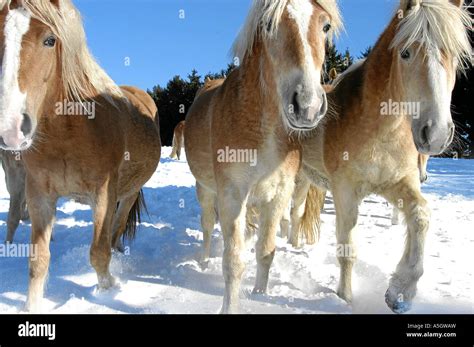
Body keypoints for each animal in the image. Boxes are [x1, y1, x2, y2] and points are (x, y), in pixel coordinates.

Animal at [0, 0, 161, 314]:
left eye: (50, 40)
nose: (10, 128)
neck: (71, 129)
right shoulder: (39, 196)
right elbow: (38, 260)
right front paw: (30, 307)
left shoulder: (104, 194)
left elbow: (98, 253)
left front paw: (108, 290)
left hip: (129, 192)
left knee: (116, 229)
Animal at [183, 0, 342, 314]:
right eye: (269, 25)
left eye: (325, 25)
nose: (307, 106)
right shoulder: (232, 194)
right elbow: (233, 261)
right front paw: (230, 306)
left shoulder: (279, 195)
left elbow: (266, 251)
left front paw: (259, 294)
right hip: (205, 189)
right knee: (207, 226)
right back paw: (204, 261)